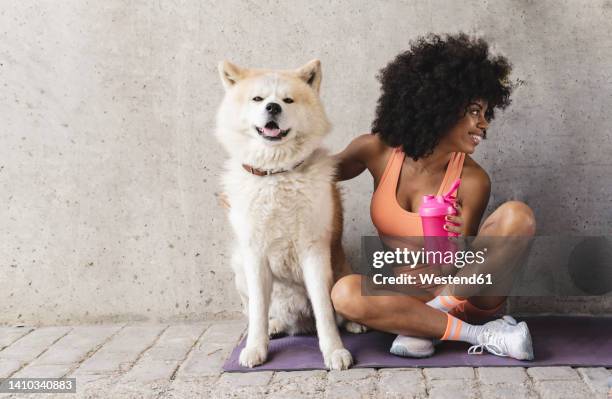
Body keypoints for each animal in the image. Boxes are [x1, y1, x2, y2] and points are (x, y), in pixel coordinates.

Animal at [215, 60, 360, 372]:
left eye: (288, 100)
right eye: (257, 99)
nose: (273, 107)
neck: (276, 174)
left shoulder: (314, 251)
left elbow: (325, 310)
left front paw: (334, 351)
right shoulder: (254, 254)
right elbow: (257, 310)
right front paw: (255, 348)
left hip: (343, 270)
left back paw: (354, 324)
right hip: (239, 266)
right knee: (263, 311)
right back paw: (275, 325)